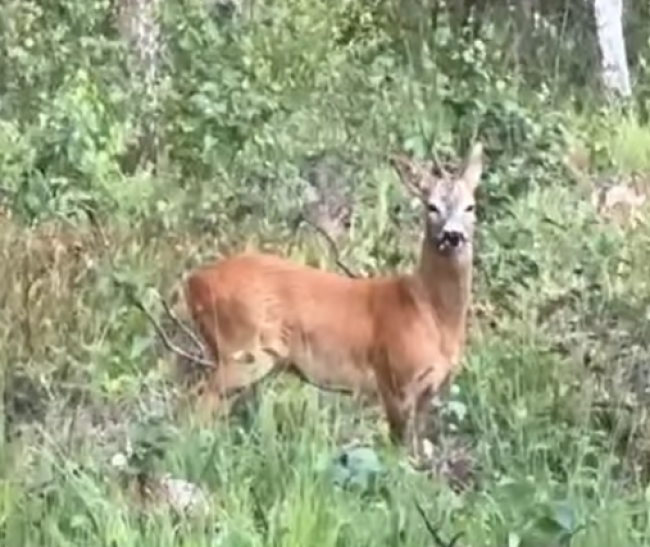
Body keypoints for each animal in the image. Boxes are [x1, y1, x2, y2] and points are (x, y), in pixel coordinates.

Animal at [158, 141, 480, 462]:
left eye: (470, 206)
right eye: (431, 206)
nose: (452, 235)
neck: (432, 313)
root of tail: (193, 281)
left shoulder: (429, 391)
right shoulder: (393, 377)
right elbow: (397, 455)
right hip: (241, 349)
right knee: (194, 408)